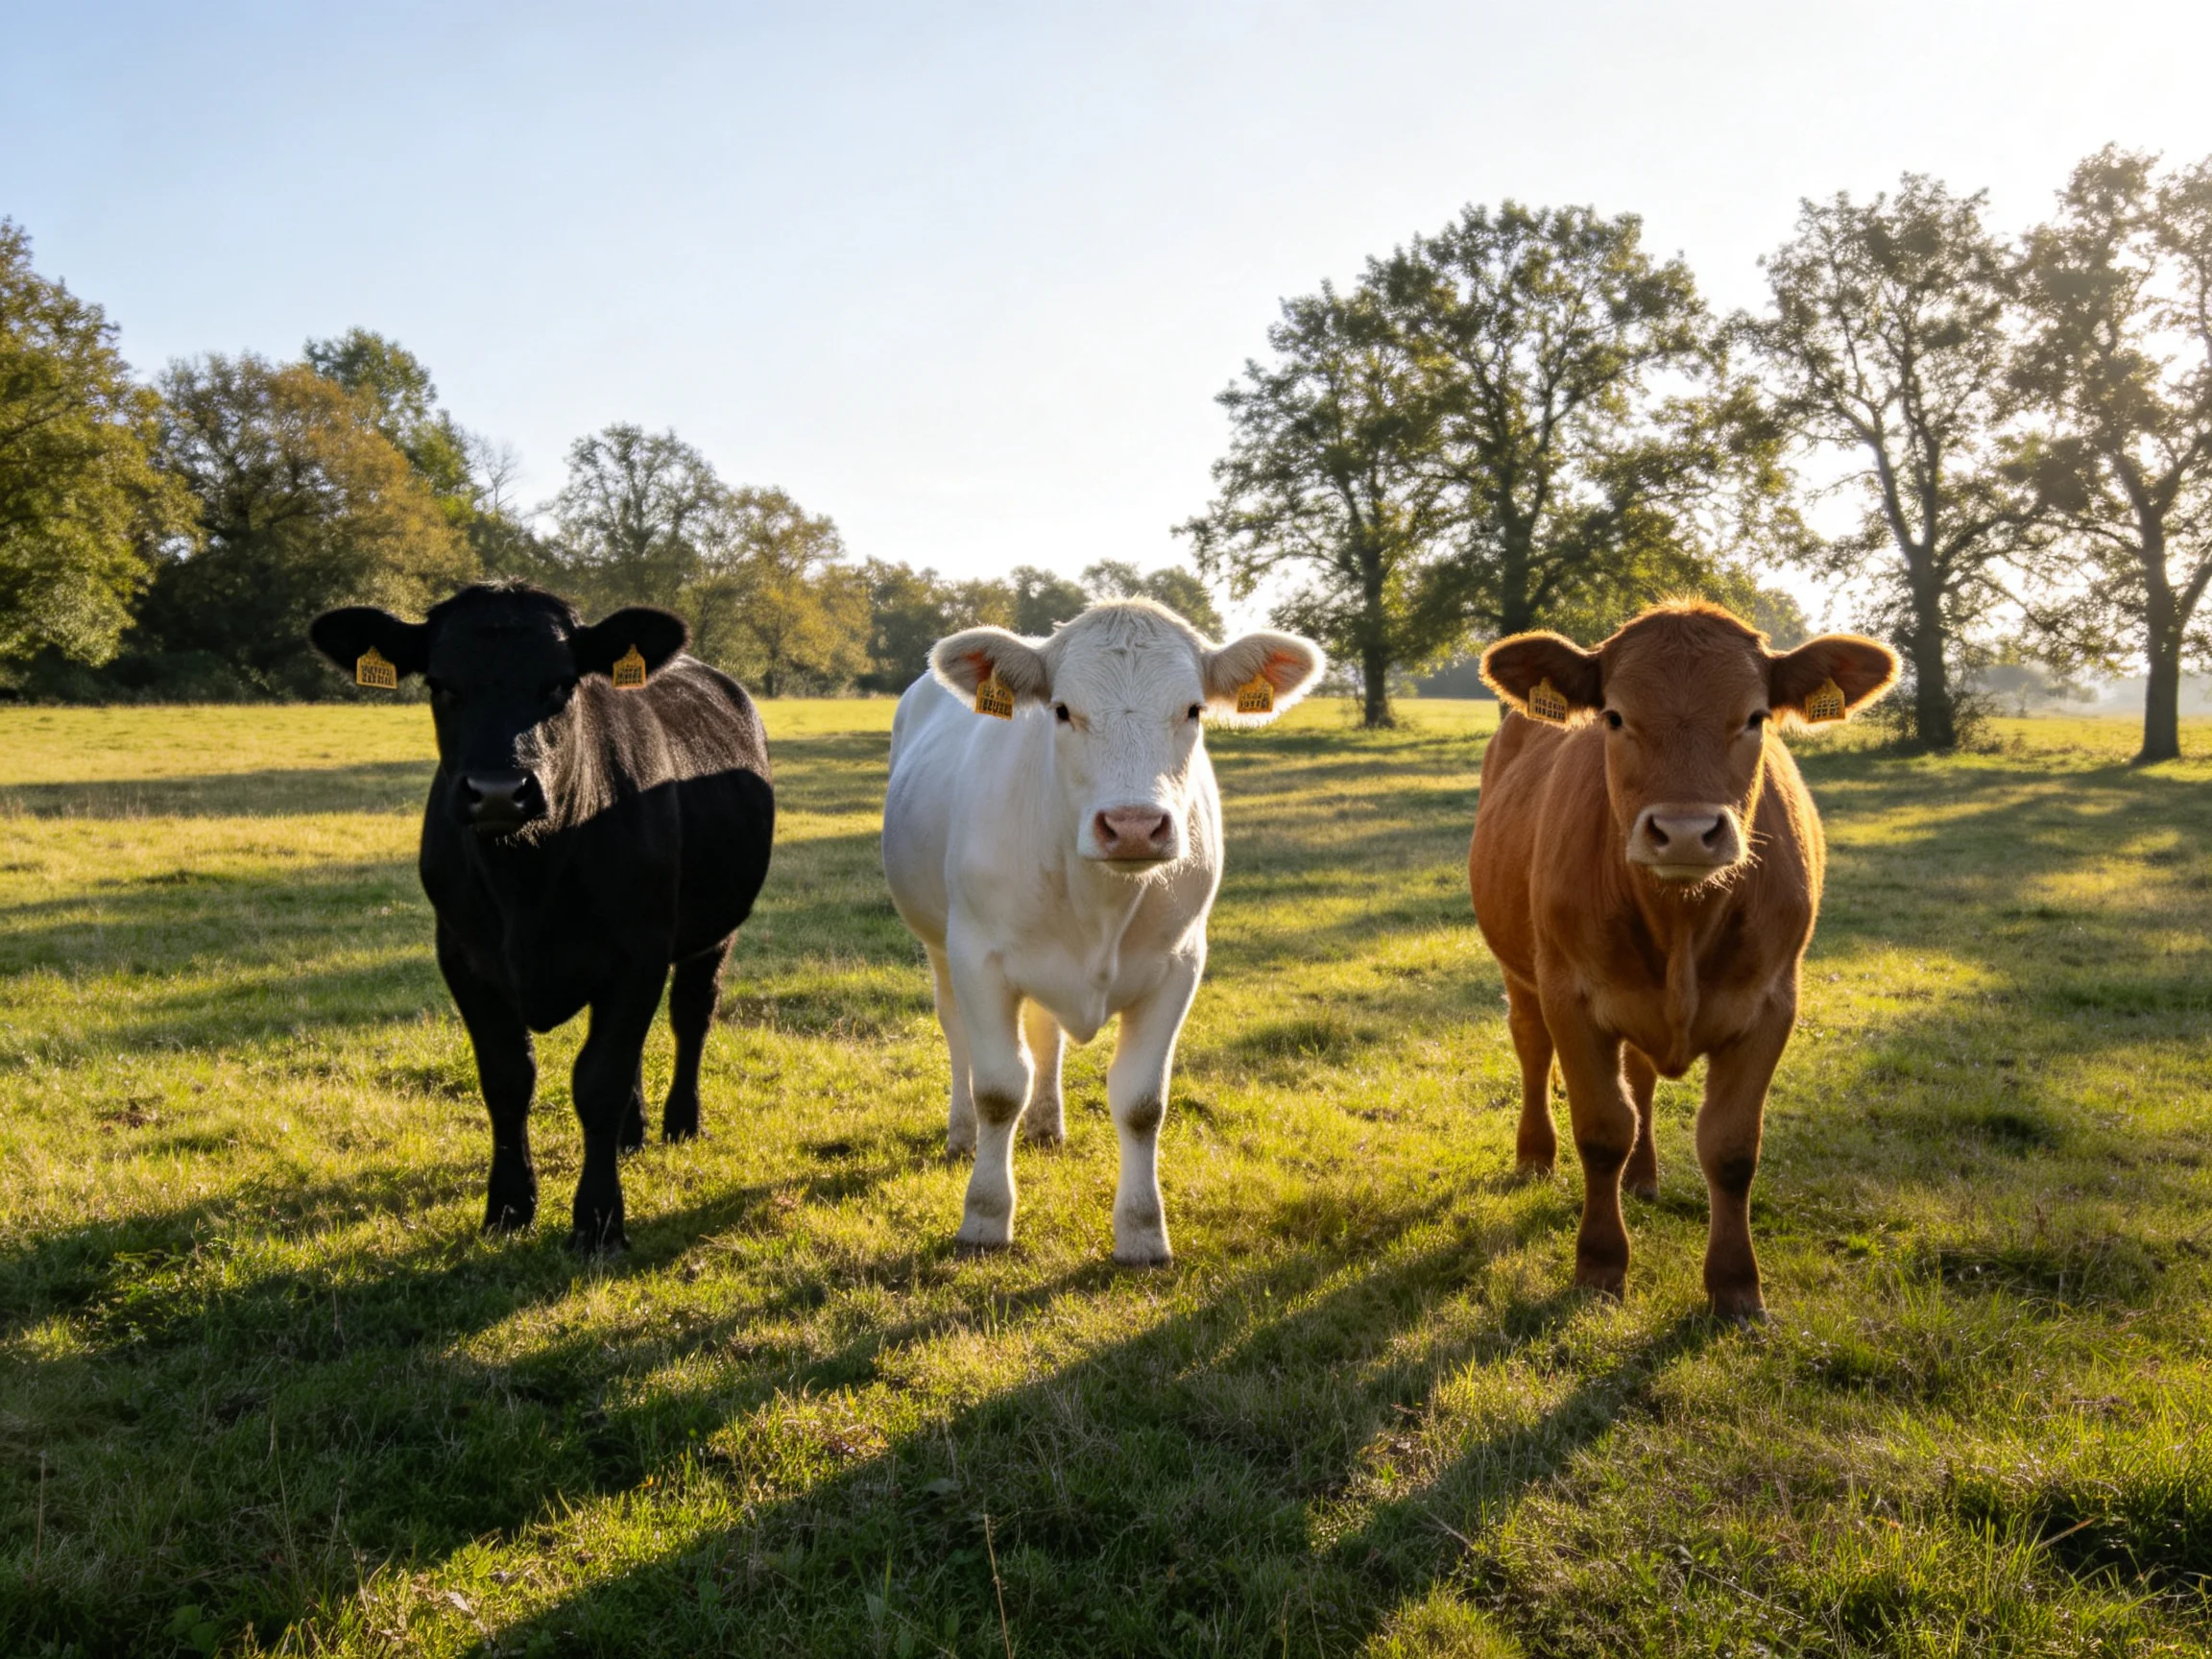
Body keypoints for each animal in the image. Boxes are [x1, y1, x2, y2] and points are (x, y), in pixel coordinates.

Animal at [308, 583, 775, 1252]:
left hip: (712, 932)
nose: (499, 791)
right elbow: (507, 1078)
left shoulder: (639, 952)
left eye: (559, 684)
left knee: (691, 1015)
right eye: (441, 685)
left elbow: (599, 1079)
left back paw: (680, 1122)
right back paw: (631, 1135)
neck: (528, 880)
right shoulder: (463, 957)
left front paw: (599, 1220)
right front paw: (507, 1206)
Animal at [882, 599, 1324, 1263]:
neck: (1101, 902)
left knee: (1044, 1039)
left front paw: (1143, 1232)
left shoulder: (1180, 963)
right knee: (957, 1034)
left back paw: (1046, 1125)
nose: (1134, 825)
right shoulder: (978, 956)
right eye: (1062, 710)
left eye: (1193, 709)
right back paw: (962, 1134)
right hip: (938, 943)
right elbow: (997, 1088)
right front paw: (984, 1217)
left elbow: (1142, 1102)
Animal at [1469, 601, 1896, 1319]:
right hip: (1522, 972)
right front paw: (1600, 1267)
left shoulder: (1772, 1002)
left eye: (1756, 717)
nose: (1688, 832)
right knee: (1531, 1047)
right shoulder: (1570, 995)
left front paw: (1737, 1287)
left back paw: (1643, 1177)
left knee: (1640, 1079)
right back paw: (1535, 1156)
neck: (1681, 921)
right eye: (1615, 716)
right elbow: (1601, 1129)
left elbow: (1730, 1147)